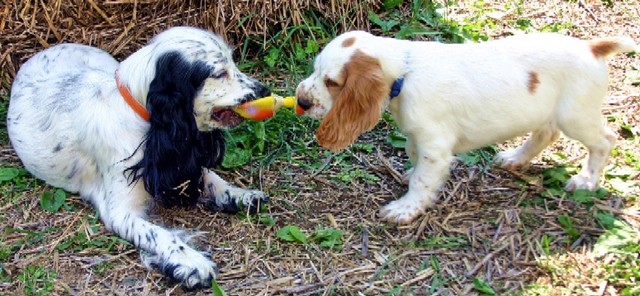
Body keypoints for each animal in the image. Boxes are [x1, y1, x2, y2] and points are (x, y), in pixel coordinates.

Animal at [7, 26, 268, 288]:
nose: (265, 90)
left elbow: (209, 176)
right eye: (219, 73)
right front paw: (192, 262)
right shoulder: (120, 213)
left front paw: (240, 194)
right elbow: (160, 234)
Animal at [296, 31, 636, 223]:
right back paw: (514, 158)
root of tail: (592, 47)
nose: (301, 101)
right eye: (315, 70)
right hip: (547, 114)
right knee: (545, 133)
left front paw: (405, 209)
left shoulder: (435, 145)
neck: (406, 70)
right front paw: (408, 175)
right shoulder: (419, 138)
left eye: (332, 82)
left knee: (605, 140)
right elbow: (414, 158)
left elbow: (423, 180)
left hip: (575, 115)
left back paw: (586, 181)